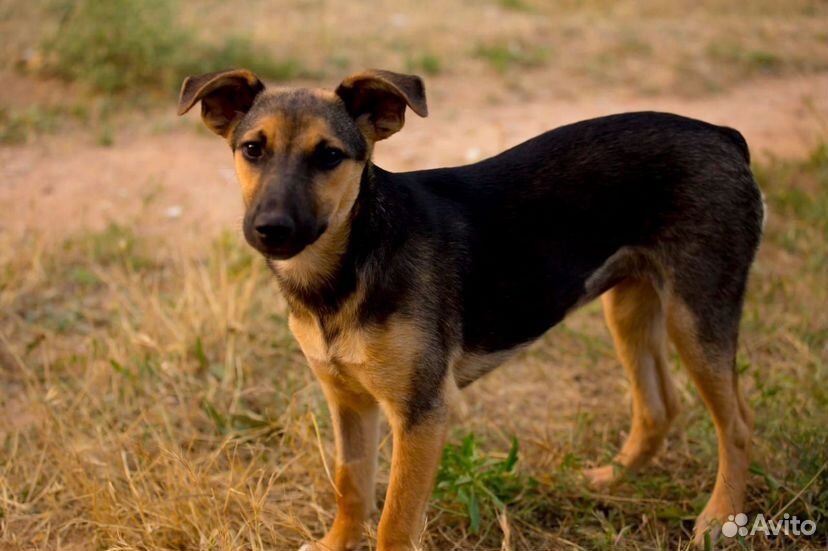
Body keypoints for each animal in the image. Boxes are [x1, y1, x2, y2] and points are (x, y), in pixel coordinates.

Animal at [180, 69, 764, 551]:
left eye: (328, 157)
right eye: (252, 149)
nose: (271, 229)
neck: (348, 264)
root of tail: (723, 135)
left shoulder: (421, 412)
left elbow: (394, 521)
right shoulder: (347, 399)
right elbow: (352, 487)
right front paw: (334, 545)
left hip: (696, 313)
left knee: (737, 422)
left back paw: (720, 518)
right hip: (628, 305)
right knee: (659, 406)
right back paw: (613, 478)